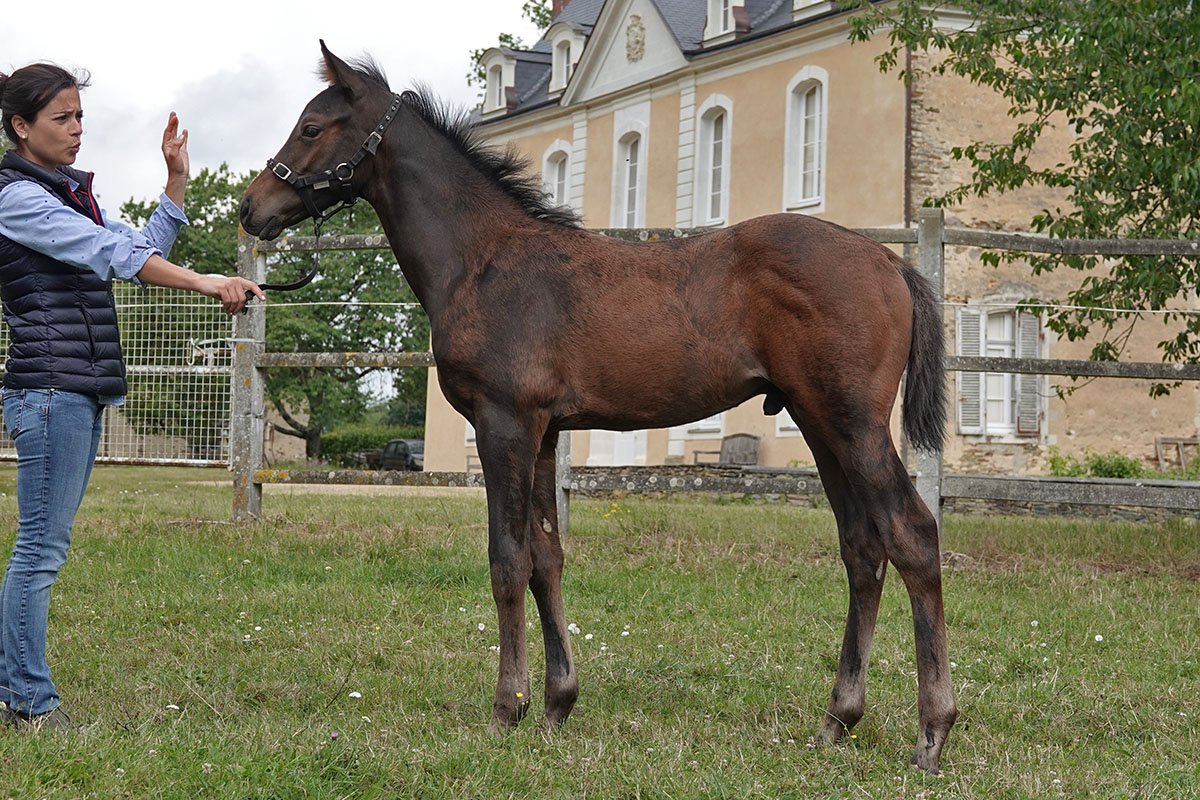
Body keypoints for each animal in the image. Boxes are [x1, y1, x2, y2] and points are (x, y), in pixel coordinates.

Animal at [239, 42, 957, 773]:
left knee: (913, 534)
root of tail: (888, 262)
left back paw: (932, 731)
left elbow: (507, 559)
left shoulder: (503, 425)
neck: (483, 260)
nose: (250, 207)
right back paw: (836, 720)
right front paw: (557, 705)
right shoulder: (543, 433)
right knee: (862, 546)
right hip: (818, 423)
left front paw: (507, 710)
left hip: (854, 424)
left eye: (311, 127)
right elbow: (545, 558)